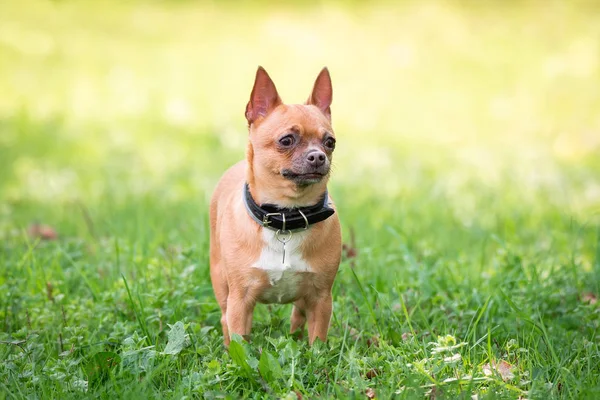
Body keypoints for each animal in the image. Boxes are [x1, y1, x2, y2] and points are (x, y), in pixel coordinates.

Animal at [210, 67, 342, 346]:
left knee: (297, 316)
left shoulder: (321, 298)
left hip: (305, 300)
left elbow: (317, 341)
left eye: (330, 142)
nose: (318, 156)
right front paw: (238, 357)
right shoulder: (240, 301)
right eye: (286, 140)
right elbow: (240, 343)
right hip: (222, 285)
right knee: (225, 319)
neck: (286, 216)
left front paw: (316, 355)